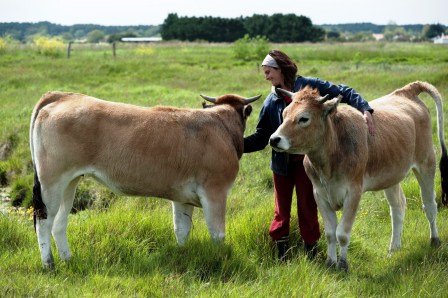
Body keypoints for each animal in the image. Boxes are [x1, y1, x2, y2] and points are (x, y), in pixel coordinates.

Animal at [268, 82, 446, 272]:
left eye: (304, 118)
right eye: (284, 114)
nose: (274, 139)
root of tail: (407, 90)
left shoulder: (353, 192)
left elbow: (342, 233)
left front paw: (343, 265)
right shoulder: (319, 194)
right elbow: (330, 233)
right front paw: (330, 263)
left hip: (426, 163)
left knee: (429, 204)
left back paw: (434, 240)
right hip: (391, 175)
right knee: (398, 207)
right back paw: (394, 248)